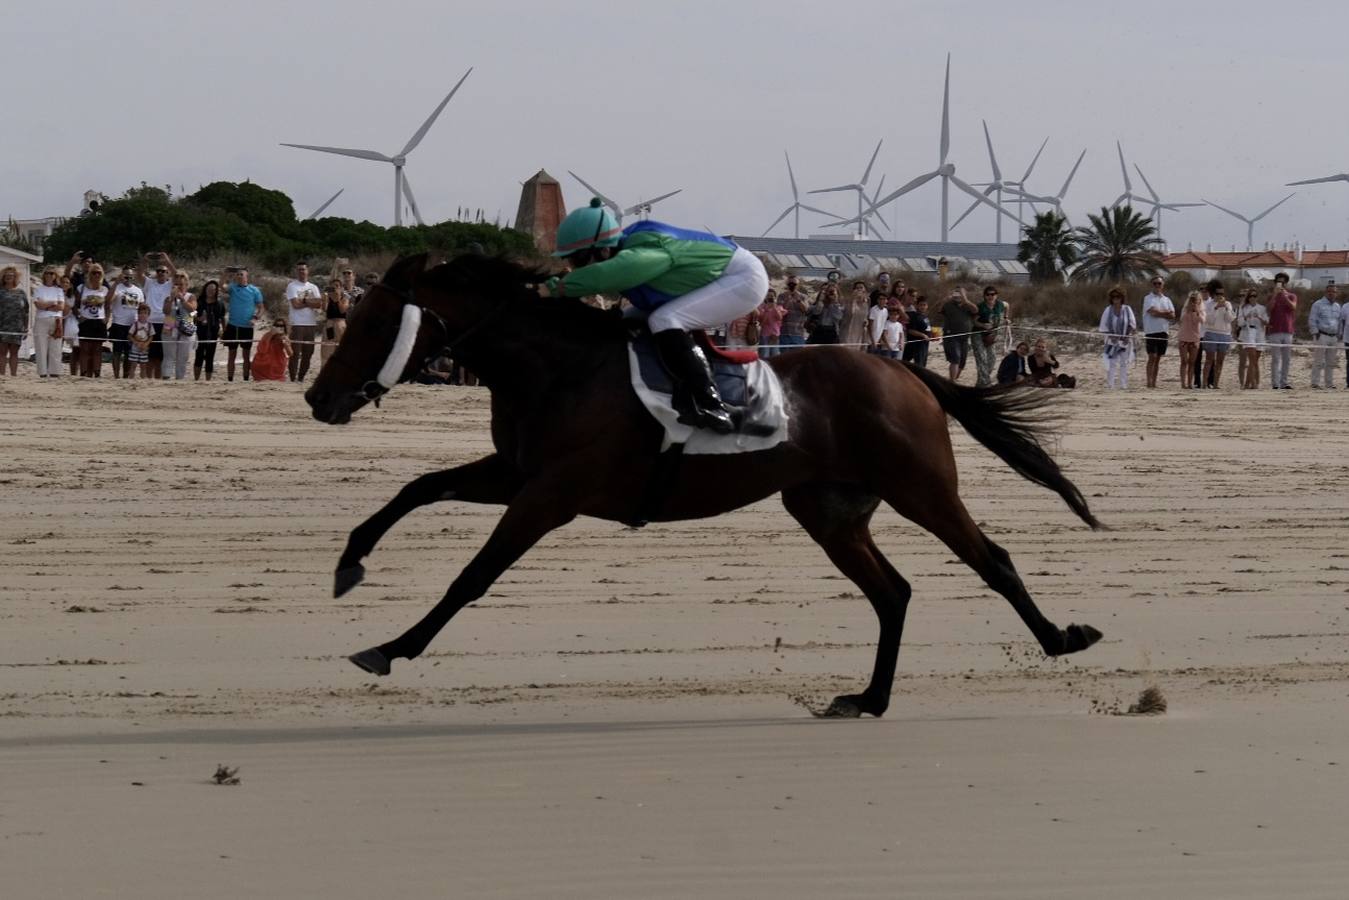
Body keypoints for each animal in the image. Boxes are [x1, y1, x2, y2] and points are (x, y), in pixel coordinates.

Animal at [303, 253, 1095, 717]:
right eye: (352, 315)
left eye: (376, 322)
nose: (318, 398)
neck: (557, 366)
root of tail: (906, 370)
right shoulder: (516, 474)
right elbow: (415, 488)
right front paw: (349, 564)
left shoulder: (552, 494)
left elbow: (472, 576)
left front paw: (391, 646)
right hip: (828, 510)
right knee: (892, 591)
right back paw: (868, 699)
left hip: (921, 489)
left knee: (991, 561)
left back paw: (1062, 637)